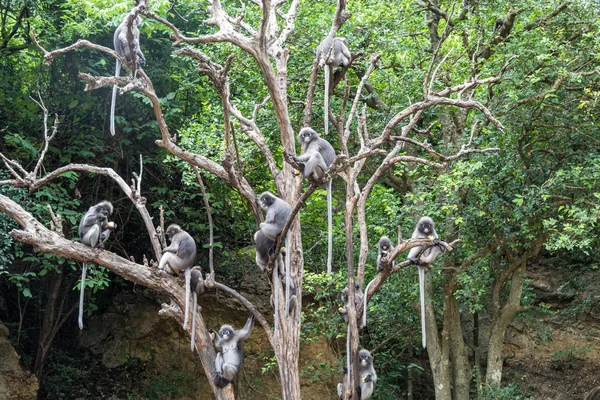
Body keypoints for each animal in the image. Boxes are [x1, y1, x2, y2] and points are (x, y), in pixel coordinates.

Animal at [77, 202, 115, 330]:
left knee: (106, 229)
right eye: (105, 211)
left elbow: (107, 226)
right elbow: (87, 221)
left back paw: (101, 242)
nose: (106, 215)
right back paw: (95, 246)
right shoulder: (93, 210)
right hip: (86, 240)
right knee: (95, 227)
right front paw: (100, 217)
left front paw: (111, 224)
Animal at [292, 126, 336, 274]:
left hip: (322, 170)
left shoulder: (314, 143)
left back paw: (307, 173)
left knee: (316, 156)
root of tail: (329, 179)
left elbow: (312, 153)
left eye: (309, 134)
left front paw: (295, 157)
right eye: (304, 135)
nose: (306, 138)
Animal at [408, 216, 446, 350]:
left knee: (435, 247)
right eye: (423, 225)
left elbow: (438, 243)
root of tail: (422, 262)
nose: (425, 229)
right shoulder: (416, 233)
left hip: (429, 257)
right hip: (419, 254)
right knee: (418, 244)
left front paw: (438, 241)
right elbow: (413, 241)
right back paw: (411, 258)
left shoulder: (433, 233)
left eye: (428, 226)